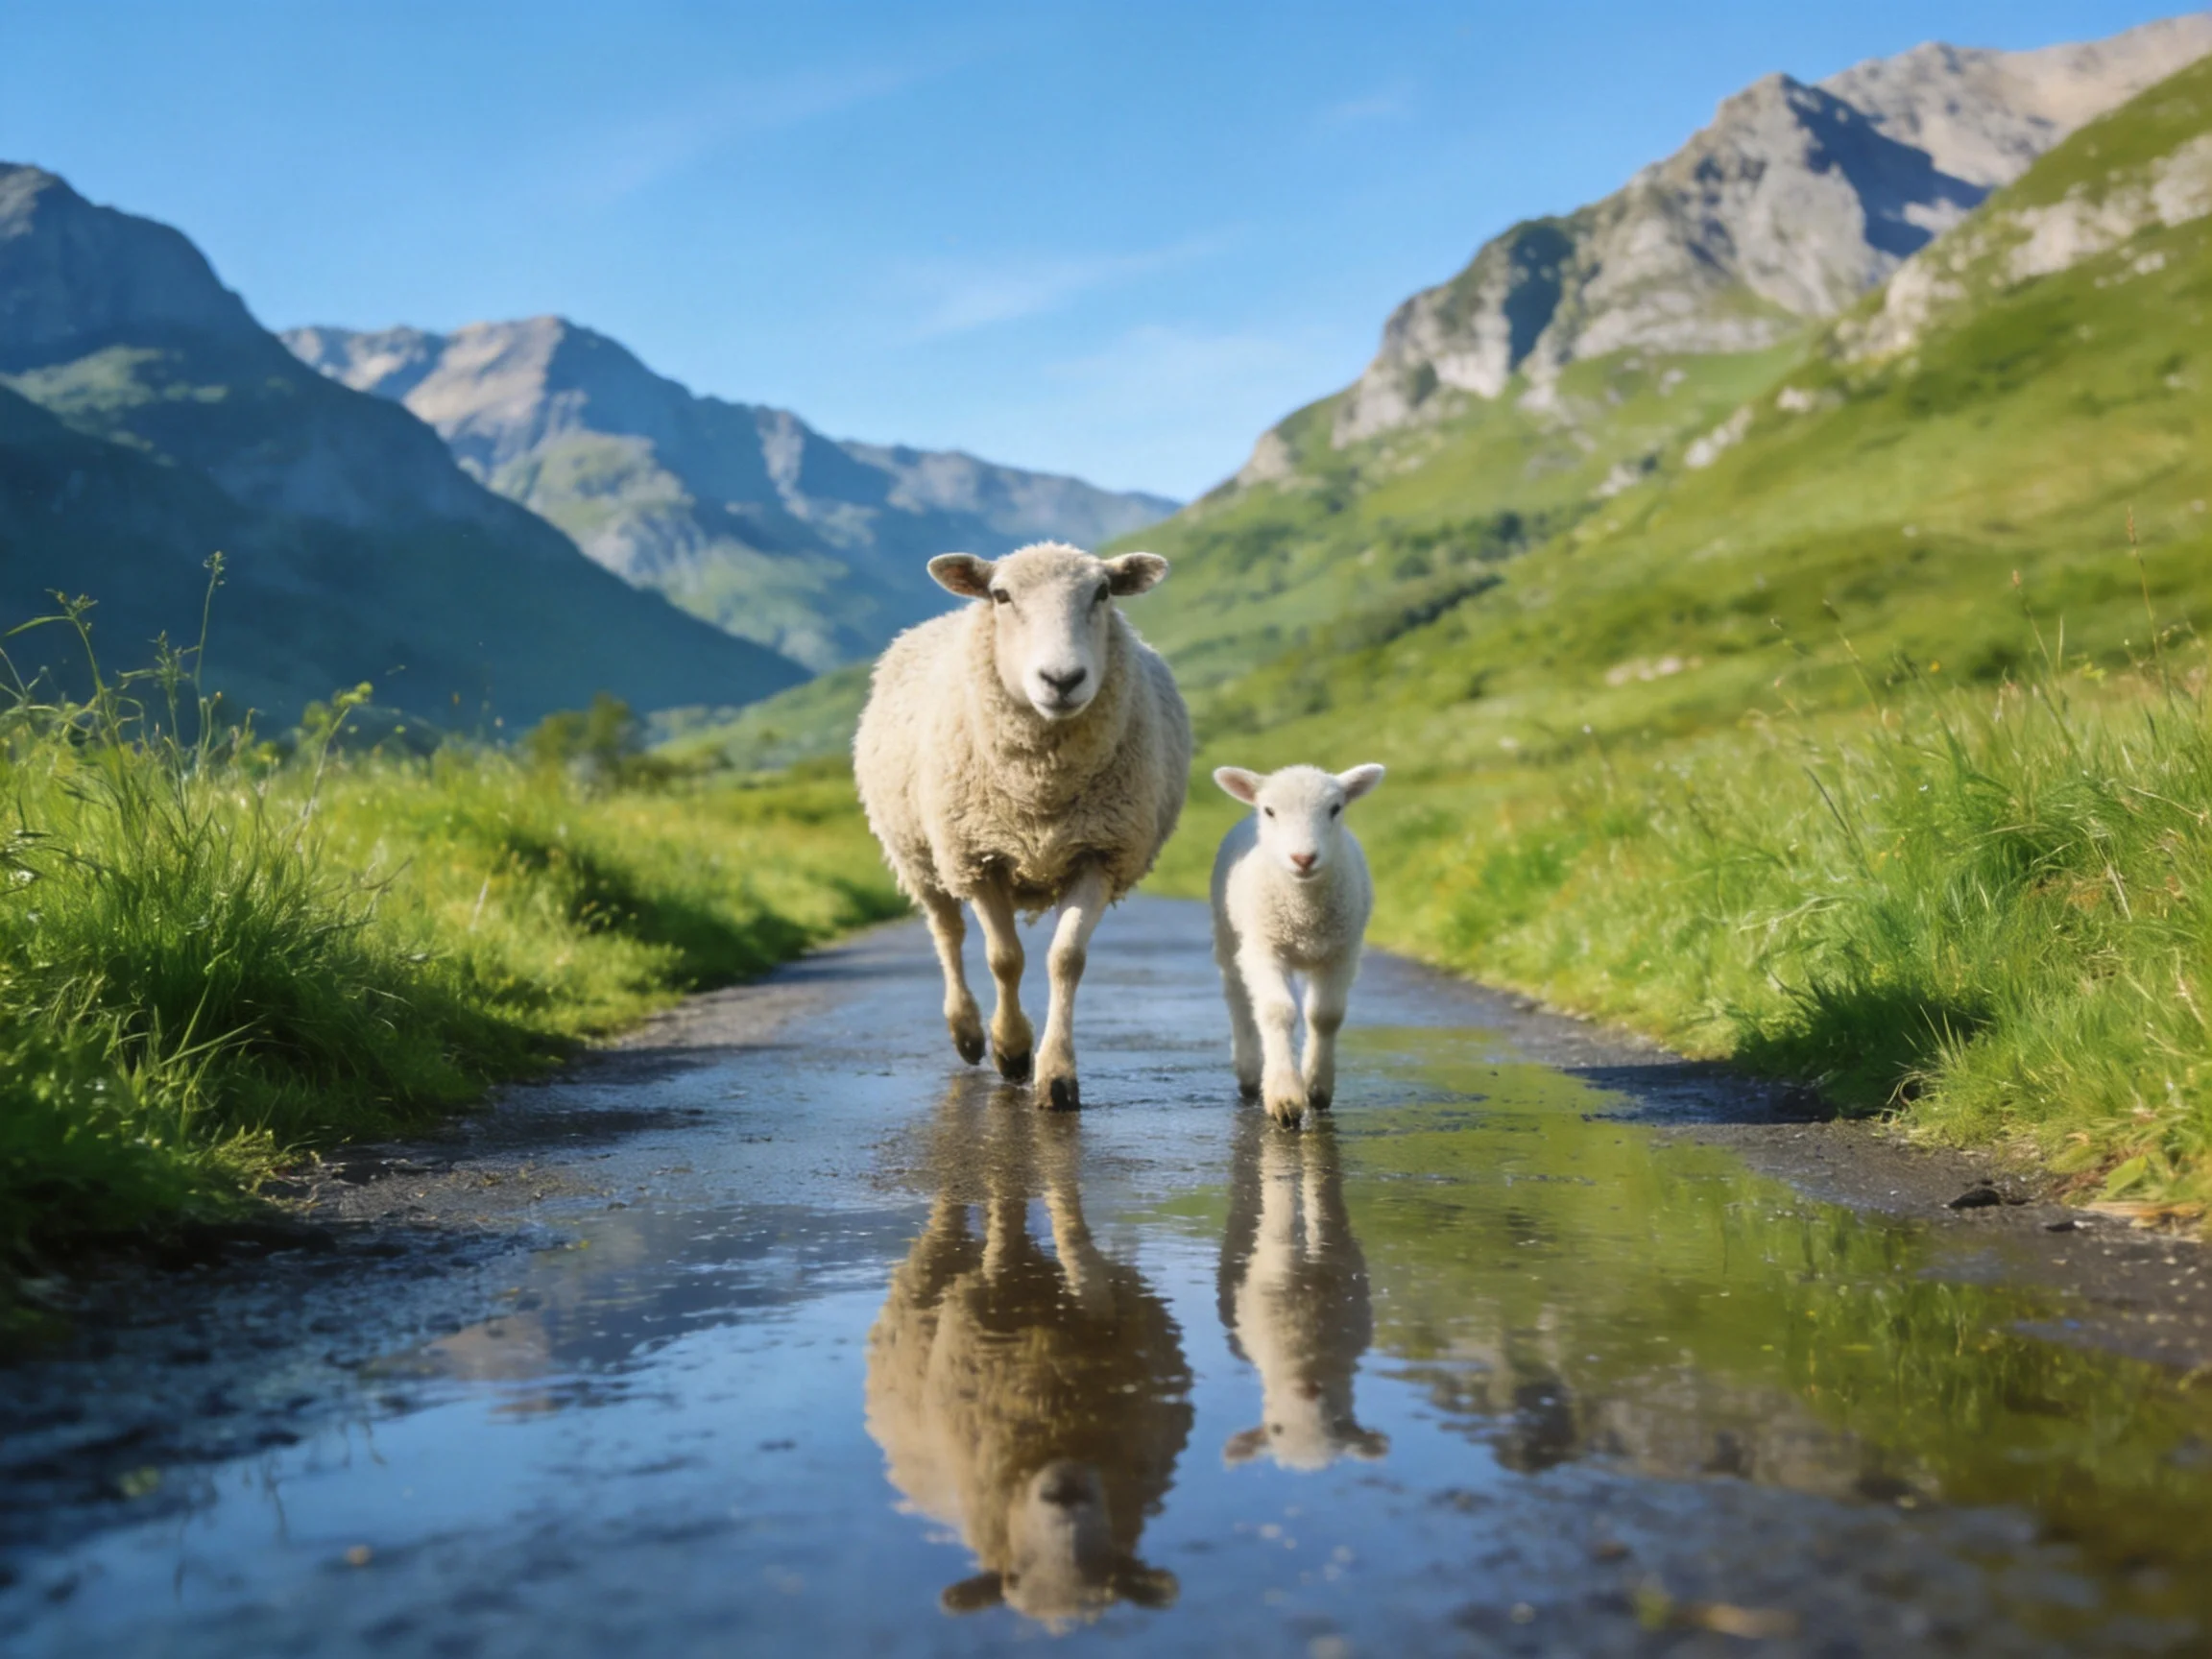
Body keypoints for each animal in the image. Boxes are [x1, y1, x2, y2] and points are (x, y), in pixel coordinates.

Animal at [854, 541, 1191, 1109]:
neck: (1041, 788)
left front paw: (1055, 1074)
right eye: (1001, 595)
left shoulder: (1100, 852)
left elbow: (1066, 959)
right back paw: (967, 1031)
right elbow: (1004, 958)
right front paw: (1010, 1050)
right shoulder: (978, 855)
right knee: (947, 933)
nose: (1062, 680)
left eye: (1103, 592)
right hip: (921, 854)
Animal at [865, 1083, 1192, 1628]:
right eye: (1012, 1581)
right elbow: (1002, 1241)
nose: (1063, 1497)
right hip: (931, 1267)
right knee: (953, 1220)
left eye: (1111, 1579)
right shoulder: (986, 1295)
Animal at [1209, 762, 1386, 1124]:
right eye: (1270, 810)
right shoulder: (1264, 949)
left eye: (1335, 808)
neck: (1303, 915)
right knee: (1238, 998)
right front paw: (1284, 1096)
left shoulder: (1341, 952)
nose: (1303, 858)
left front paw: (1317, 1088)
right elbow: (1277, 1011)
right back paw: (1250, 1073)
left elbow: (1325, 1015)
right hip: (1230, 937)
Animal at [1217, 1115, 1388, 1471]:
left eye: (1337, 1425)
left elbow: (1327, 1215)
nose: (1307, 1393)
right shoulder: (1268, 1280)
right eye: (1276, 1429)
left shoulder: (1346, 1274)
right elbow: (1280, 1233)